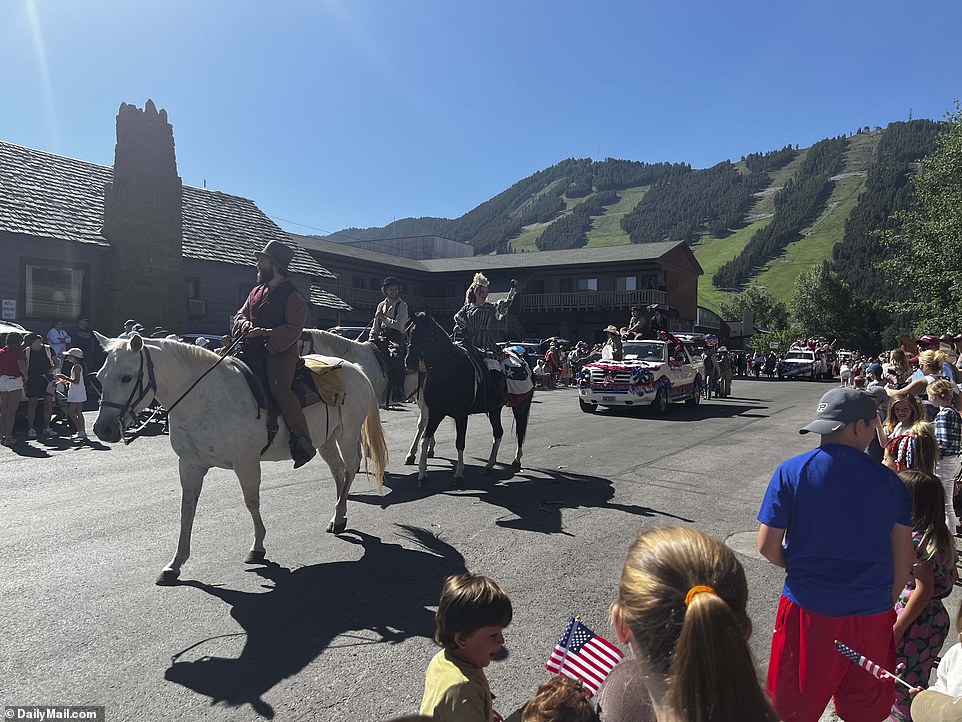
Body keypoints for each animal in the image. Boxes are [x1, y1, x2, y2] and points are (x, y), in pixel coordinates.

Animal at [90, 332, 388, 584]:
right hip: (325, 440)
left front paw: (257, 548)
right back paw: (338, 517)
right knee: (338, 471)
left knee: (349, 469)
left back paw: (339, 515)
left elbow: (251, 502)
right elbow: (187, 510)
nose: (102, 429)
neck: (206, 397)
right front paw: (174, 565)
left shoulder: (246, 463)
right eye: (100, 377)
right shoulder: (190, 465)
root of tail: (356, 369)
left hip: (347, 434)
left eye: (127, 377)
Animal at [404, 310, 532, 484]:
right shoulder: (435, 412)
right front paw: (422, 473)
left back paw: (516, 460)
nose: (409, 362)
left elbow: (460, 443)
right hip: (494, 409)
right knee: (498, 432)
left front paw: (459, 473)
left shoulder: (461, 415)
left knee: (520, 431)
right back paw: (490, 465)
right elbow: (425, 438)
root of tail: (522, 355)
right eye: (409, 333)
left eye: (424, 335)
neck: (448, 368)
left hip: (521, 405)